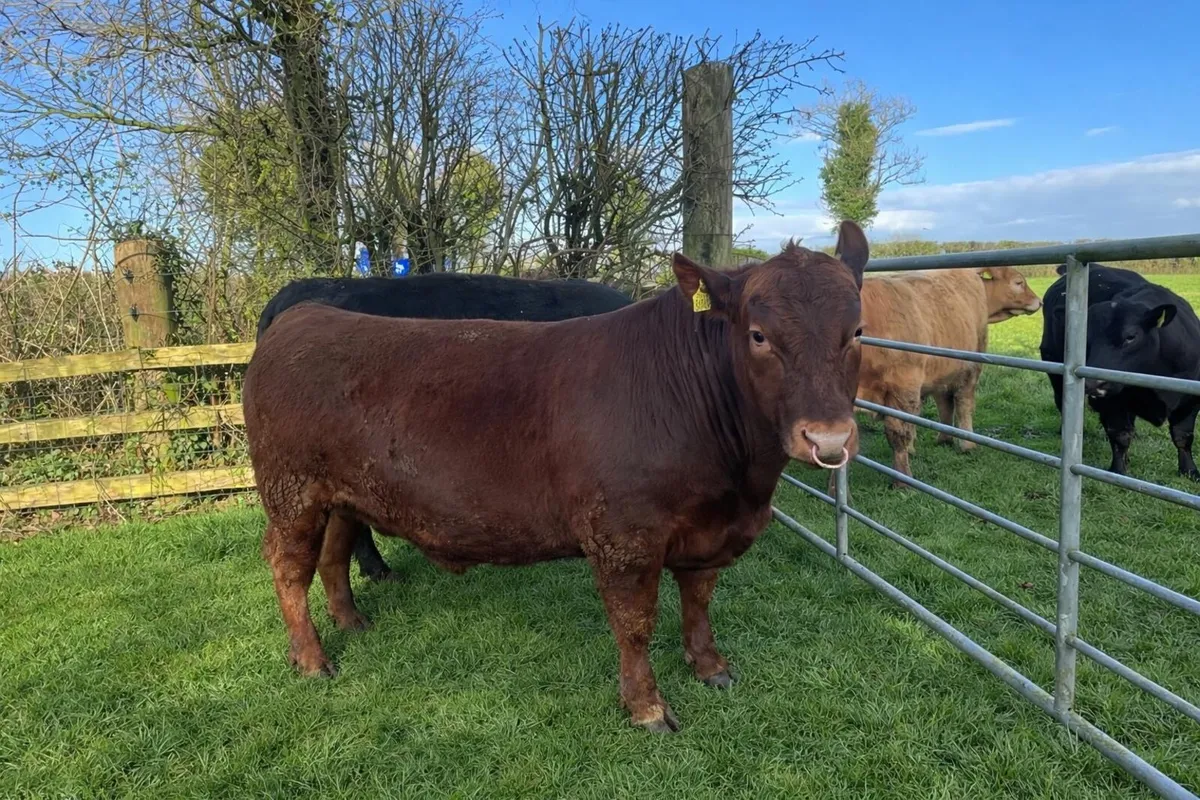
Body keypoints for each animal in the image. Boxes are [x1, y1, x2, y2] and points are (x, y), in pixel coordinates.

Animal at [849, 267, 1041, 487]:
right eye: (1019, 282)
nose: (1039, 301)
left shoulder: (905, 387)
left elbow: (899, 432)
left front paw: (903, 479)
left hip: (968, 367)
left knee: (962, 404)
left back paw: (965, 443)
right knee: (949, 403)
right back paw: (949, 439)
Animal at [1040, 263, 1200, 480]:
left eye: (1130, 336)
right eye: (1084, 338)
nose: (1094, 382)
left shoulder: (1190, 400)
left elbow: (1183, 436)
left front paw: (1189, 470)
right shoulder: (1112, 403)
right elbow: (1120, 436)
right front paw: (1118, 471)